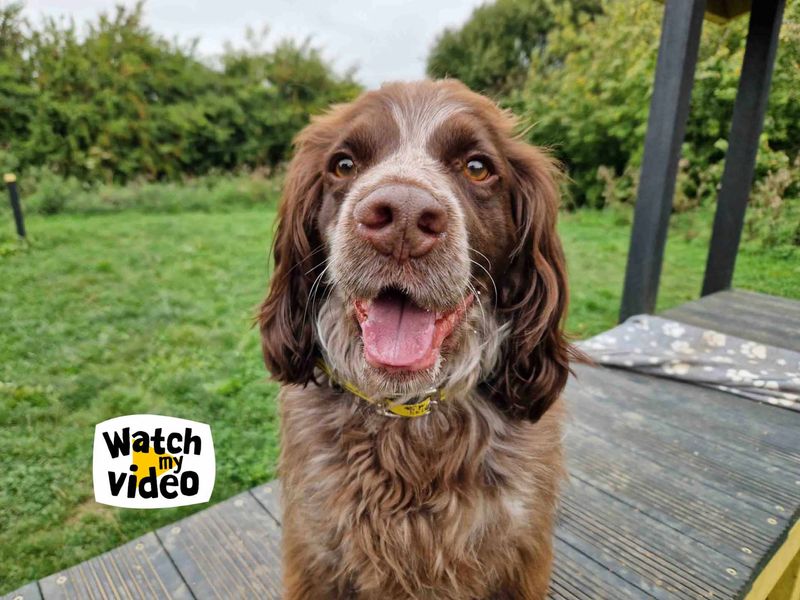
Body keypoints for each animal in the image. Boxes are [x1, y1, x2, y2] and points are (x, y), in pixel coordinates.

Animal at [260, 81, 572, 600]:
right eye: (344, 164)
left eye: (477, 167)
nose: (402, 219)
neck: (409, 416)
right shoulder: (317, 557)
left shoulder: (519, 557)